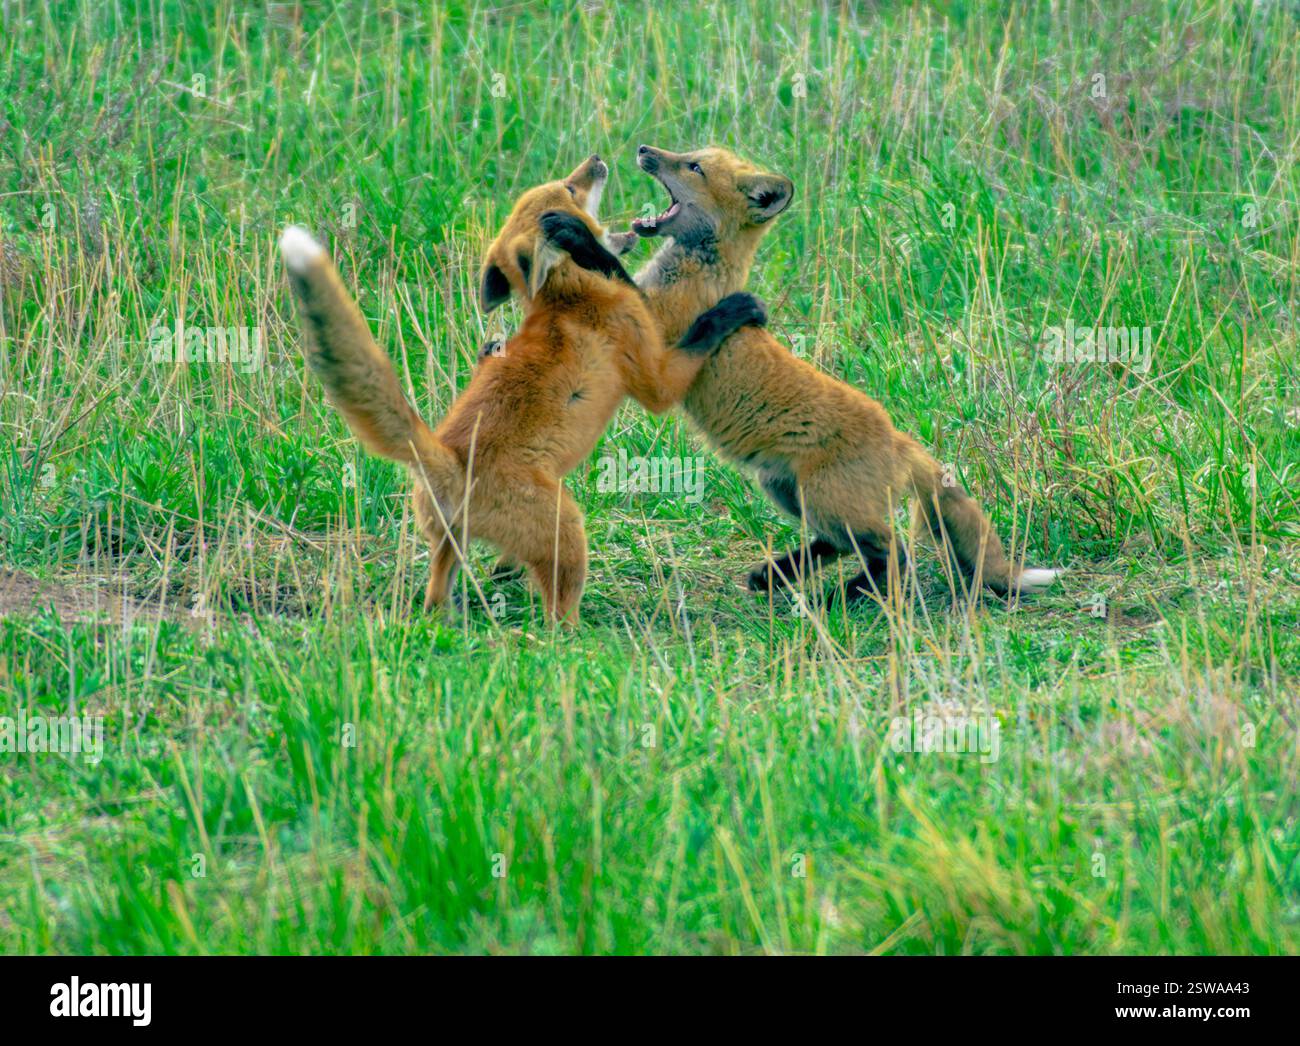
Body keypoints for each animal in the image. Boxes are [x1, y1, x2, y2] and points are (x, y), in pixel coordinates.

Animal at [279, 155, 764, 625]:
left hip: (450, 547)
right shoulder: (656, 380)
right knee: (557, 621)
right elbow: (696, 337)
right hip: (567, 532)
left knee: (435, 597)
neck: (566, 294)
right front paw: (732, 310)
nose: (597, 158)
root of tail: (448, 457)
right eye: (570, 189)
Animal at [560, 145, 1060, 602]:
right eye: (689, 154)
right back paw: (782, 577)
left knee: (895, 552)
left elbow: (613, 274)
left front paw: (576, 238)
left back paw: (842, 596)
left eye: (693, 167)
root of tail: (899, 439)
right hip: (787, 491)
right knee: (847, 546)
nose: (644, 149)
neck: (698, 271)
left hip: (826, 500)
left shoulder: (661, 351)